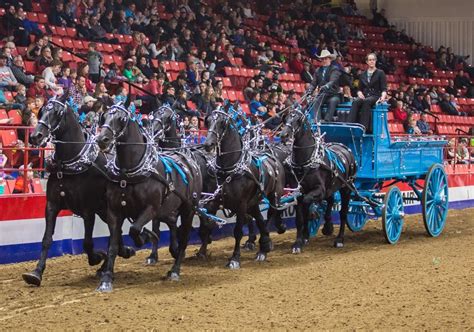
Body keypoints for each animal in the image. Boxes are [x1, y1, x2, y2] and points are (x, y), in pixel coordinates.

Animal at [23, 95, 135, 286]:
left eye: (57, 112)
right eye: (42, 110)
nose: (36, 136)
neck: (69, 162)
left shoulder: (88, 210)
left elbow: (87, 242)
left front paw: (97, 257)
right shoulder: (51, 206)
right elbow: (46, 239)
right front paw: (36, 273)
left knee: (114, 233)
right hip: (105, 210)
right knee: (116, 232)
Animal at [95, 103, 201, 290]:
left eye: (121, 119)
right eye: (104, 116)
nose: (102, 139)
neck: (129, 174)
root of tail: (190, 163)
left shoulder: (151, 209)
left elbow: (135, 229)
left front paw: (146, 236)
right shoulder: (114, 212)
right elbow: (113, 245)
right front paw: (106, 278)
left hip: (189, 210)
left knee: (184, 239)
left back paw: (175, 270)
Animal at [204, 107, 286, 268]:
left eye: (222, 123)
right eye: (208, 121)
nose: (208, 144)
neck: (230, 169)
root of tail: (273, 156)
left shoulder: (241, 204)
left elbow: (238, 231)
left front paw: (234, 259)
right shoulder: (214, 201)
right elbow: (208, 223)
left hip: (273, 196)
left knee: (270, 214)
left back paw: (265, 244)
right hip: (253, 202)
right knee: (259, 218)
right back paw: (263, 248)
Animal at [280, 107, 358, 250]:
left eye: (297, 121)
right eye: (286, 119)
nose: (284, 135)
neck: (305, 162)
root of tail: (345, 147)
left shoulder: (319, 190)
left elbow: (307, 203)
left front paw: (312, 218)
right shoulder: (298, 192)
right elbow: (300, 218)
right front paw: (299, 241)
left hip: (346, 188)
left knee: (343, 213)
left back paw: (339, 238)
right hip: (332, 186)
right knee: (330, 200)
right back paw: (327, 225)